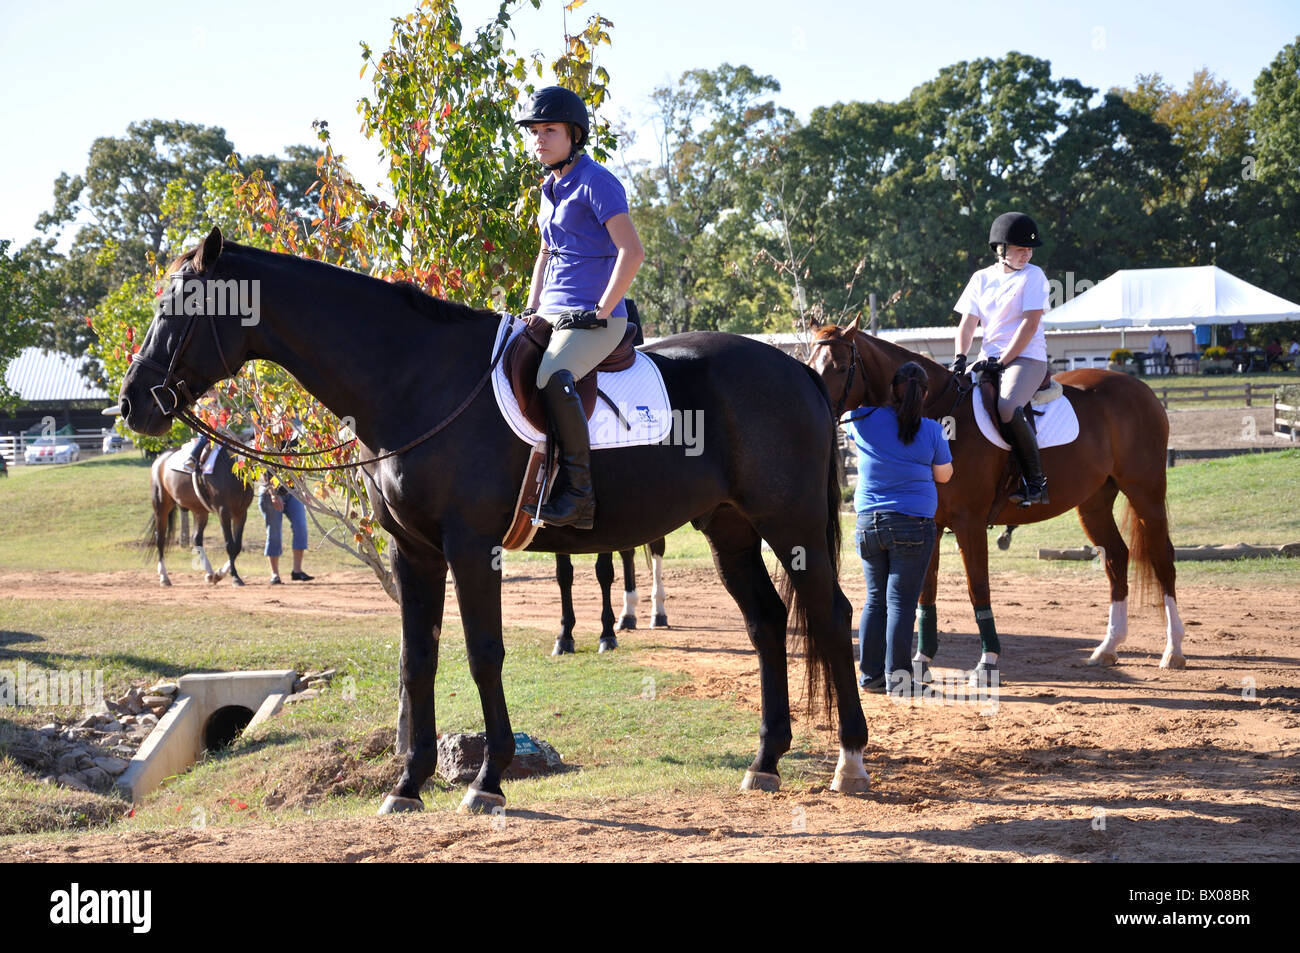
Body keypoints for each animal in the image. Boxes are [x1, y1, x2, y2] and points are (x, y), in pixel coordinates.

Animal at [147, 447, 253, 587]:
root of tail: (161, 459)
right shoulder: (223, 512)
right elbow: (230, 545)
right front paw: (235, 577)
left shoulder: (241, 513)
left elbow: (237, 546)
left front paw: (219, 574)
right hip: (161, 508)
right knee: (160, 539)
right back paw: (164, 577)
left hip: (200, 512)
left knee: (196, 539)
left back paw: (209, 573)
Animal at [811, 317, 1190, 670]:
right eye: (811, 363)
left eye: (841, 367)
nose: (819, 411)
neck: (933, 412)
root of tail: (1139, 388)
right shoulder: (926, 523)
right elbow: (925, 590)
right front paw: (922, 660)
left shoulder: (970, 523)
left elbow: (977, 587)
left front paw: (987, 659)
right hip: (1094, 502)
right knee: (1116, 557)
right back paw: (1108, 648)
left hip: (1145, 491)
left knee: (1162, 557)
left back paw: (1173, 650)